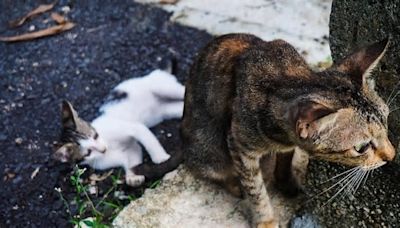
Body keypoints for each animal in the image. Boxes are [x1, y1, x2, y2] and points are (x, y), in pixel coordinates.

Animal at [182, 33, 396, 227]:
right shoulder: (238, 144)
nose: (392, 155)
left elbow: (285, 160)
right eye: (361, 148)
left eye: (386, 122)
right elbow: (255, 189)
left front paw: (286, 183)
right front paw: (266, 220)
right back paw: (234, 185)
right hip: (210, 150)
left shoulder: (287, 145)